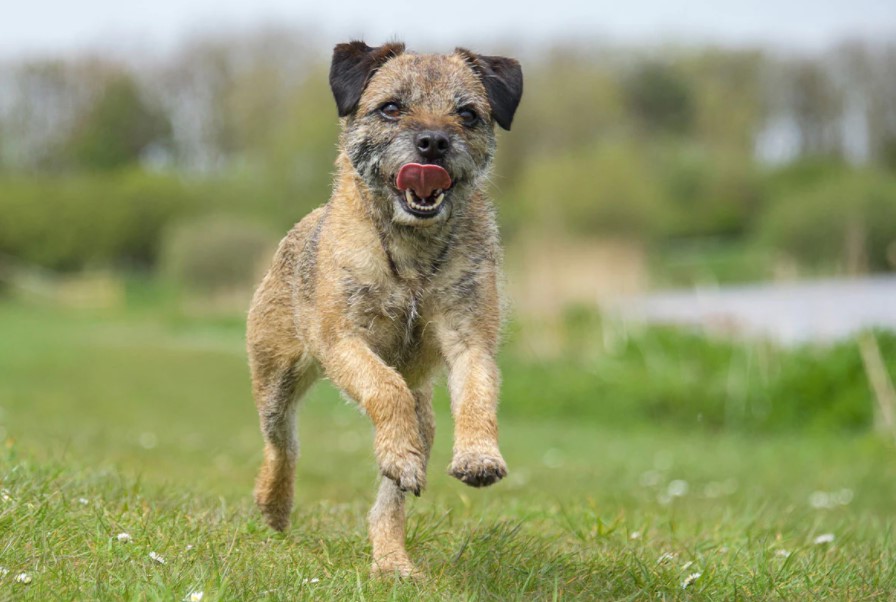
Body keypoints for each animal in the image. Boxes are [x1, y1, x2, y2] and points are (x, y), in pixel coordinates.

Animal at [247, 42, 524, 576]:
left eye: (467, 114)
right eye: (392, 108)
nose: (433, 143)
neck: (412, 248)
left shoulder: (469, 339)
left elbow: (478, 392)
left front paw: (478, 455)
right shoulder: (343, 342)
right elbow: (384, 387)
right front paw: (399, 452)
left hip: (425, 417)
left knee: (389, 500)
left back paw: (391, 559)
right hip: (274, 378)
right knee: (282, 443)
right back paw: (275, 505)